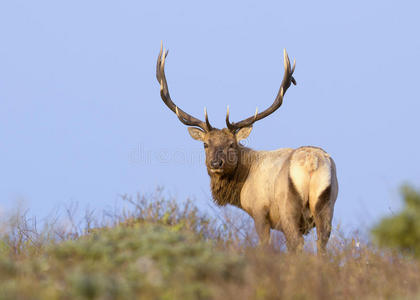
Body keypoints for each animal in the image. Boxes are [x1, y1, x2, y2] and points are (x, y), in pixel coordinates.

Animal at [157, 42, 338, 253]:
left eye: (232, 144)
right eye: (205, 144)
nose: (215, 163)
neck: (241, 186)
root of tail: (311, 163)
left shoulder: (260, 211)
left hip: (289, 207)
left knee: (296, 242)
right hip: (327, 204)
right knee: (322, 244)